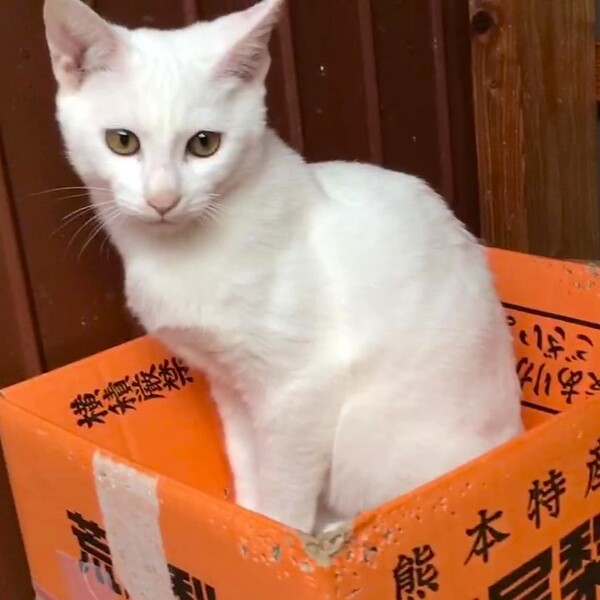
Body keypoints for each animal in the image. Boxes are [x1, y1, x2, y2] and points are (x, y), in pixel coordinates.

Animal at [43, 0, 524, 535]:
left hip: (364, 436)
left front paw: (286, 537)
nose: (163, 199)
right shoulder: (230, 383)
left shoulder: (300, 390)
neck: (178, 254)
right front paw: (250, 522)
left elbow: (287, 491)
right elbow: (248, 463)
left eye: (204, 144)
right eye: (122, 141)